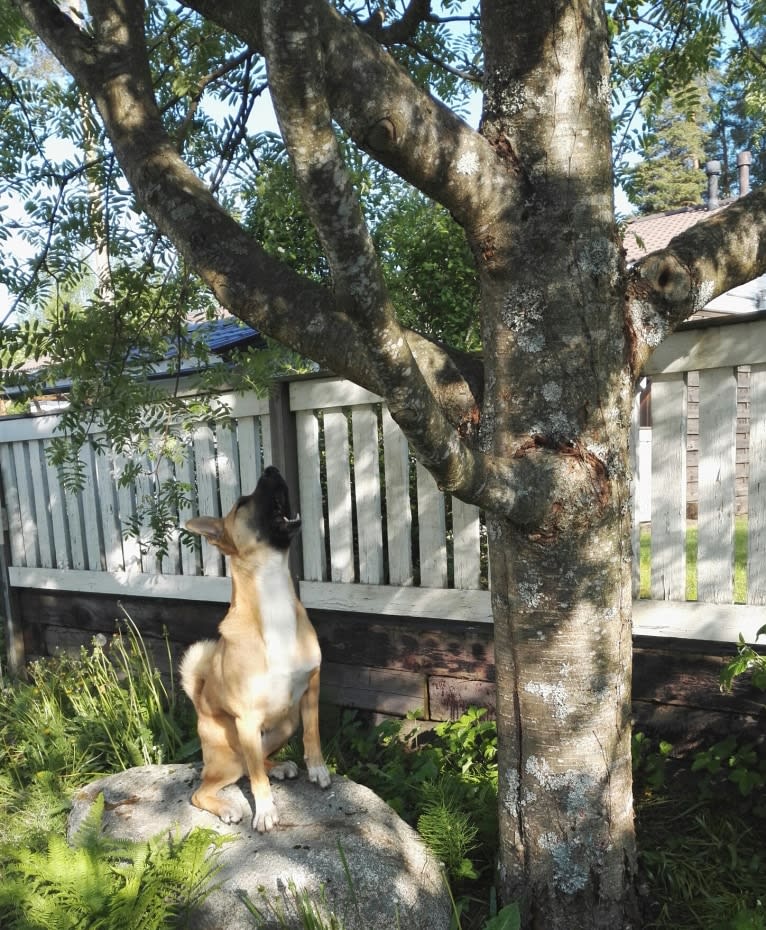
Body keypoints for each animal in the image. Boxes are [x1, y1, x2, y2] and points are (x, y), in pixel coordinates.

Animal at [183, 468, 332, 832]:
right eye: (240, 503)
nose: (271, 470)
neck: (274, 597)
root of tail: (198, 703)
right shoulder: (247, 719)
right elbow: (256, 780)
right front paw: (265, 811)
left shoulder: (311, 688)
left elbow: (313, 734)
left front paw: (317, 769)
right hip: (229, 753)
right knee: (206, 788)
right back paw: (226, 806)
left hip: (285, 724)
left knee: (258, 761)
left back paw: (277, 766)